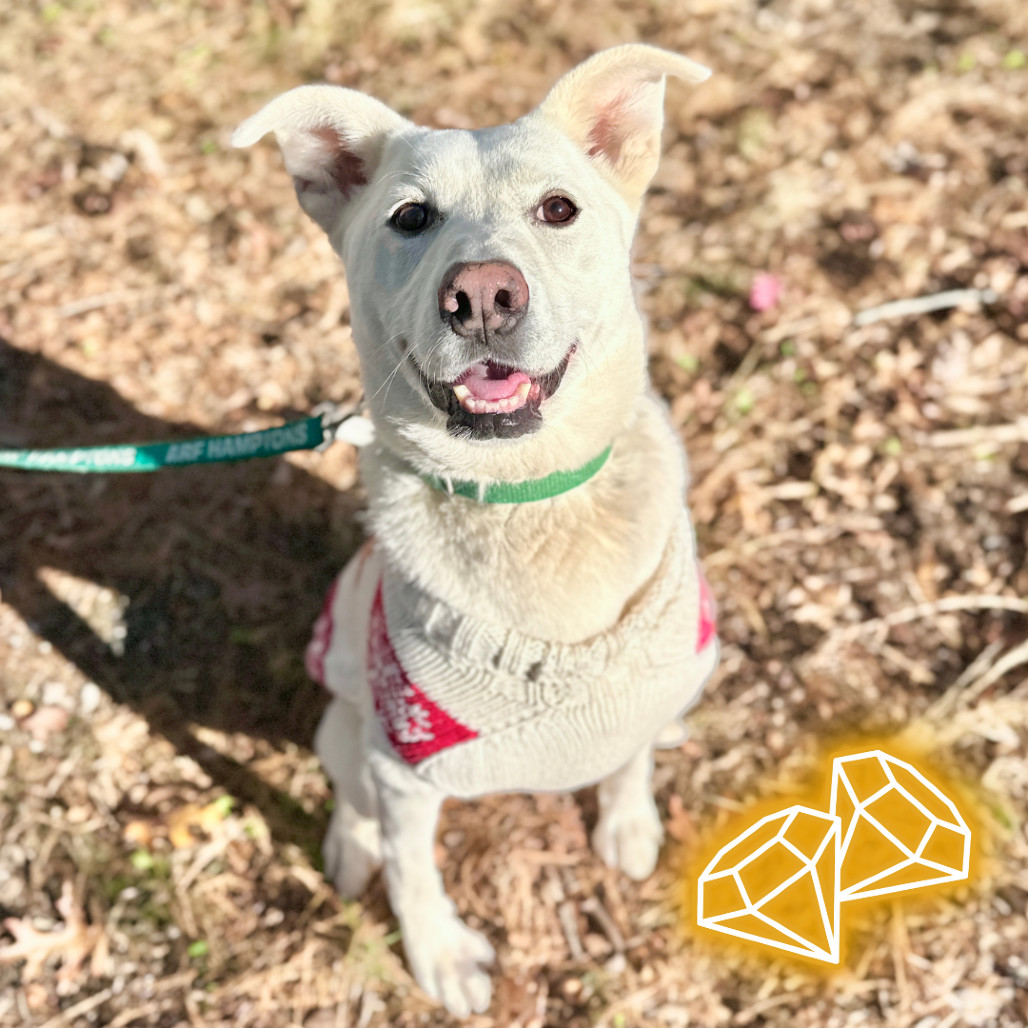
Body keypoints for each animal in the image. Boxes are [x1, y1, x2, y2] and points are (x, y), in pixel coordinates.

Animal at [233, 46, 715, 1011]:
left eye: (558, 209)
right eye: (410, 217)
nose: (483, 295)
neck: (530, 500)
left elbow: (632, 753)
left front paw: (630, 820)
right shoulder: (406, 764)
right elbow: (414, 869)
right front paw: (439, 957)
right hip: (352, 723)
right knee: (350, 790)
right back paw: (349, 850)